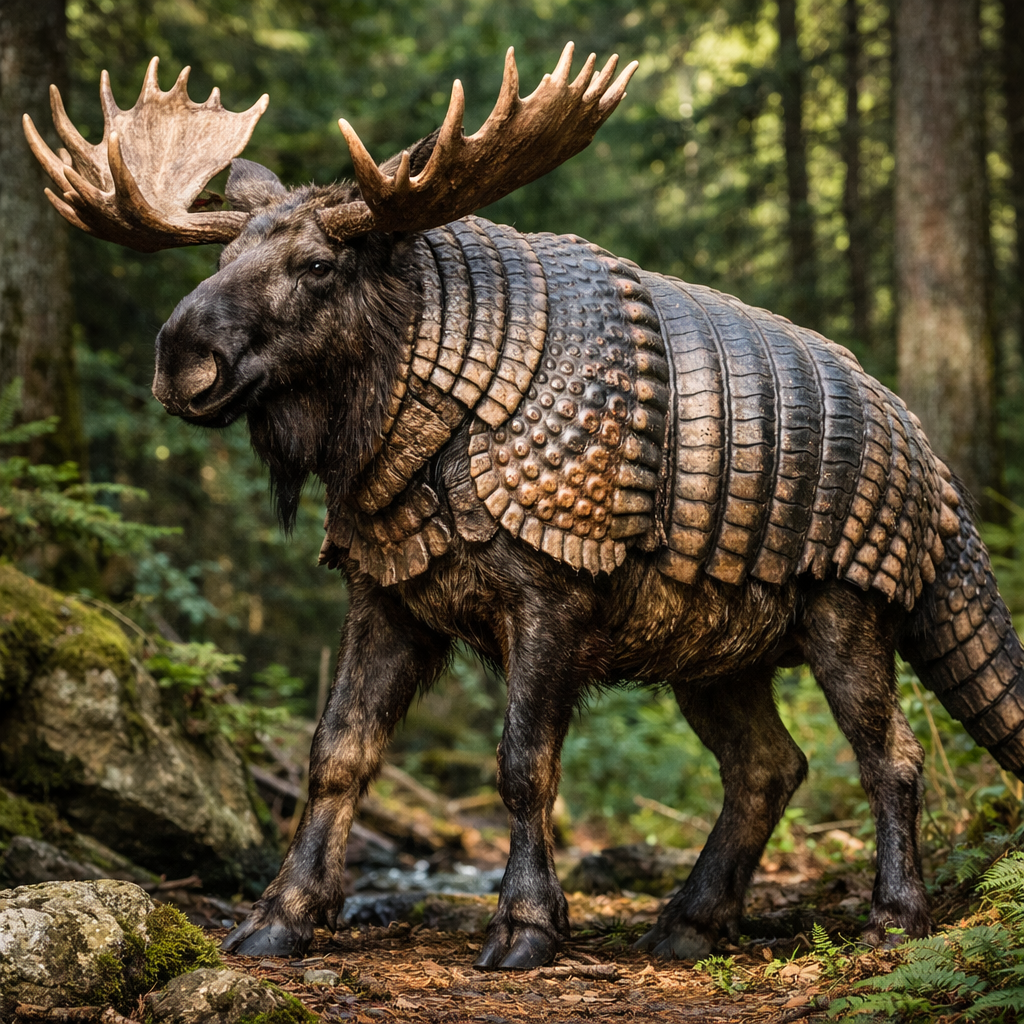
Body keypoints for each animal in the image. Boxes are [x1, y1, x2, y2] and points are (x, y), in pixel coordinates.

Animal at [24, 46, 1024, 970]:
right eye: (225, 254)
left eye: (315, 266)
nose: (180, 363)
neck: (394, 416)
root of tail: (940, 485)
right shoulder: (385, 596)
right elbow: (335, 753)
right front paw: (278, 919)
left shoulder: (552, 587)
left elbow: (523, 764)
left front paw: (526, 926)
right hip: (714, 648)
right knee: (768, 766)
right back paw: (687, 923)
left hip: (847, 604)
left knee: (887, 751)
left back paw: (894, 916)